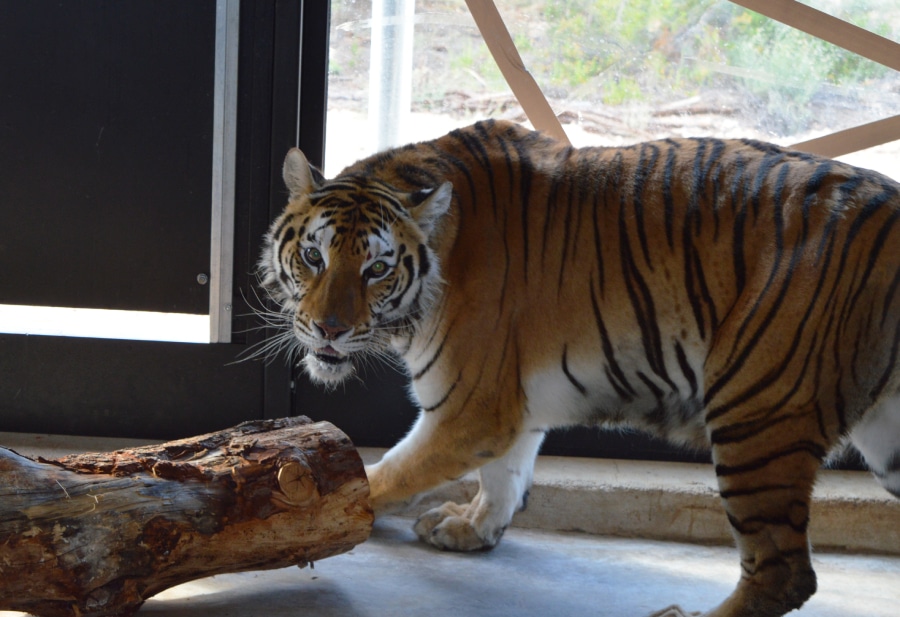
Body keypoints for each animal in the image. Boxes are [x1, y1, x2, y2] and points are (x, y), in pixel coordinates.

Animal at [259, 118, 900, 617]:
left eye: (376, 270)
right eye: (313, 256)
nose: (329, 329)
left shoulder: (470, 407)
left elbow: (386, 474)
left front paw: (326, 516)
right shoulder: (506, 402)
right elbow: (506, 473)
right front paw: (472, 529)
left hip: (759, 413)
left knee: (784, 572)